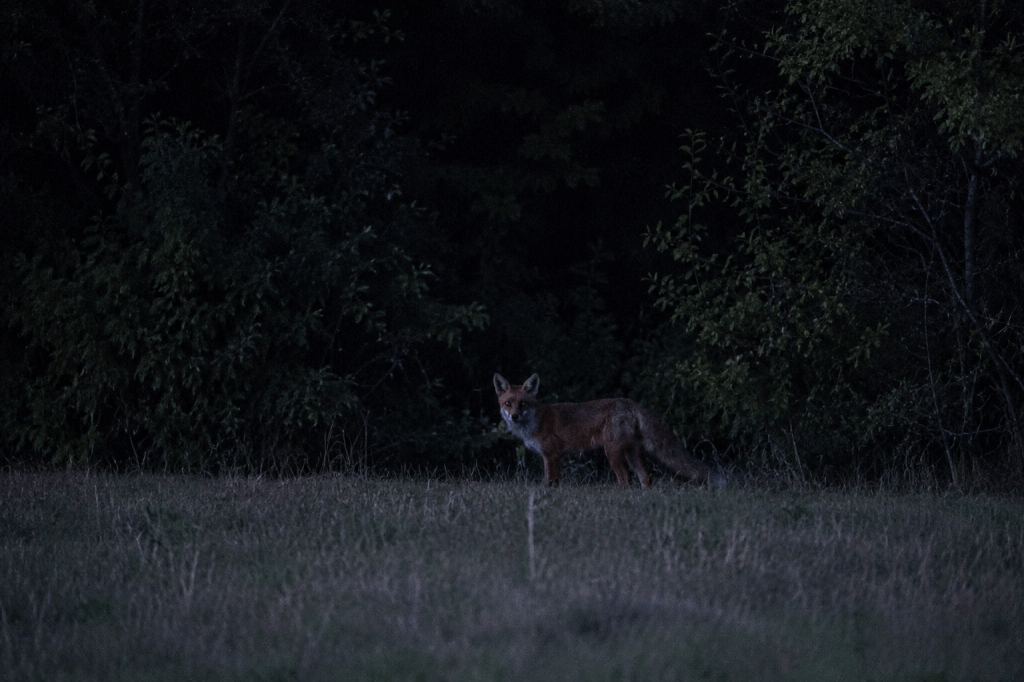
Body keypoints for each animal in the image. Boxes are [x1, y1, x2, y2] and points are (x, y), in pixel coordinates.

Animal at [494, 373, 725, 488]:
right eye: (508, 404)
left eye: (523, 404)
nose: (514, 417)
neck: (537, 420)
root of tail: (630, 402)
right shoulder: (550, 455)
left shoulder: (552, 454)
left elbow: (550, 482)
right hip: (632, 453)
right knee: (646, 479)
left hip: (612, 452)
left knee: (625, 480)